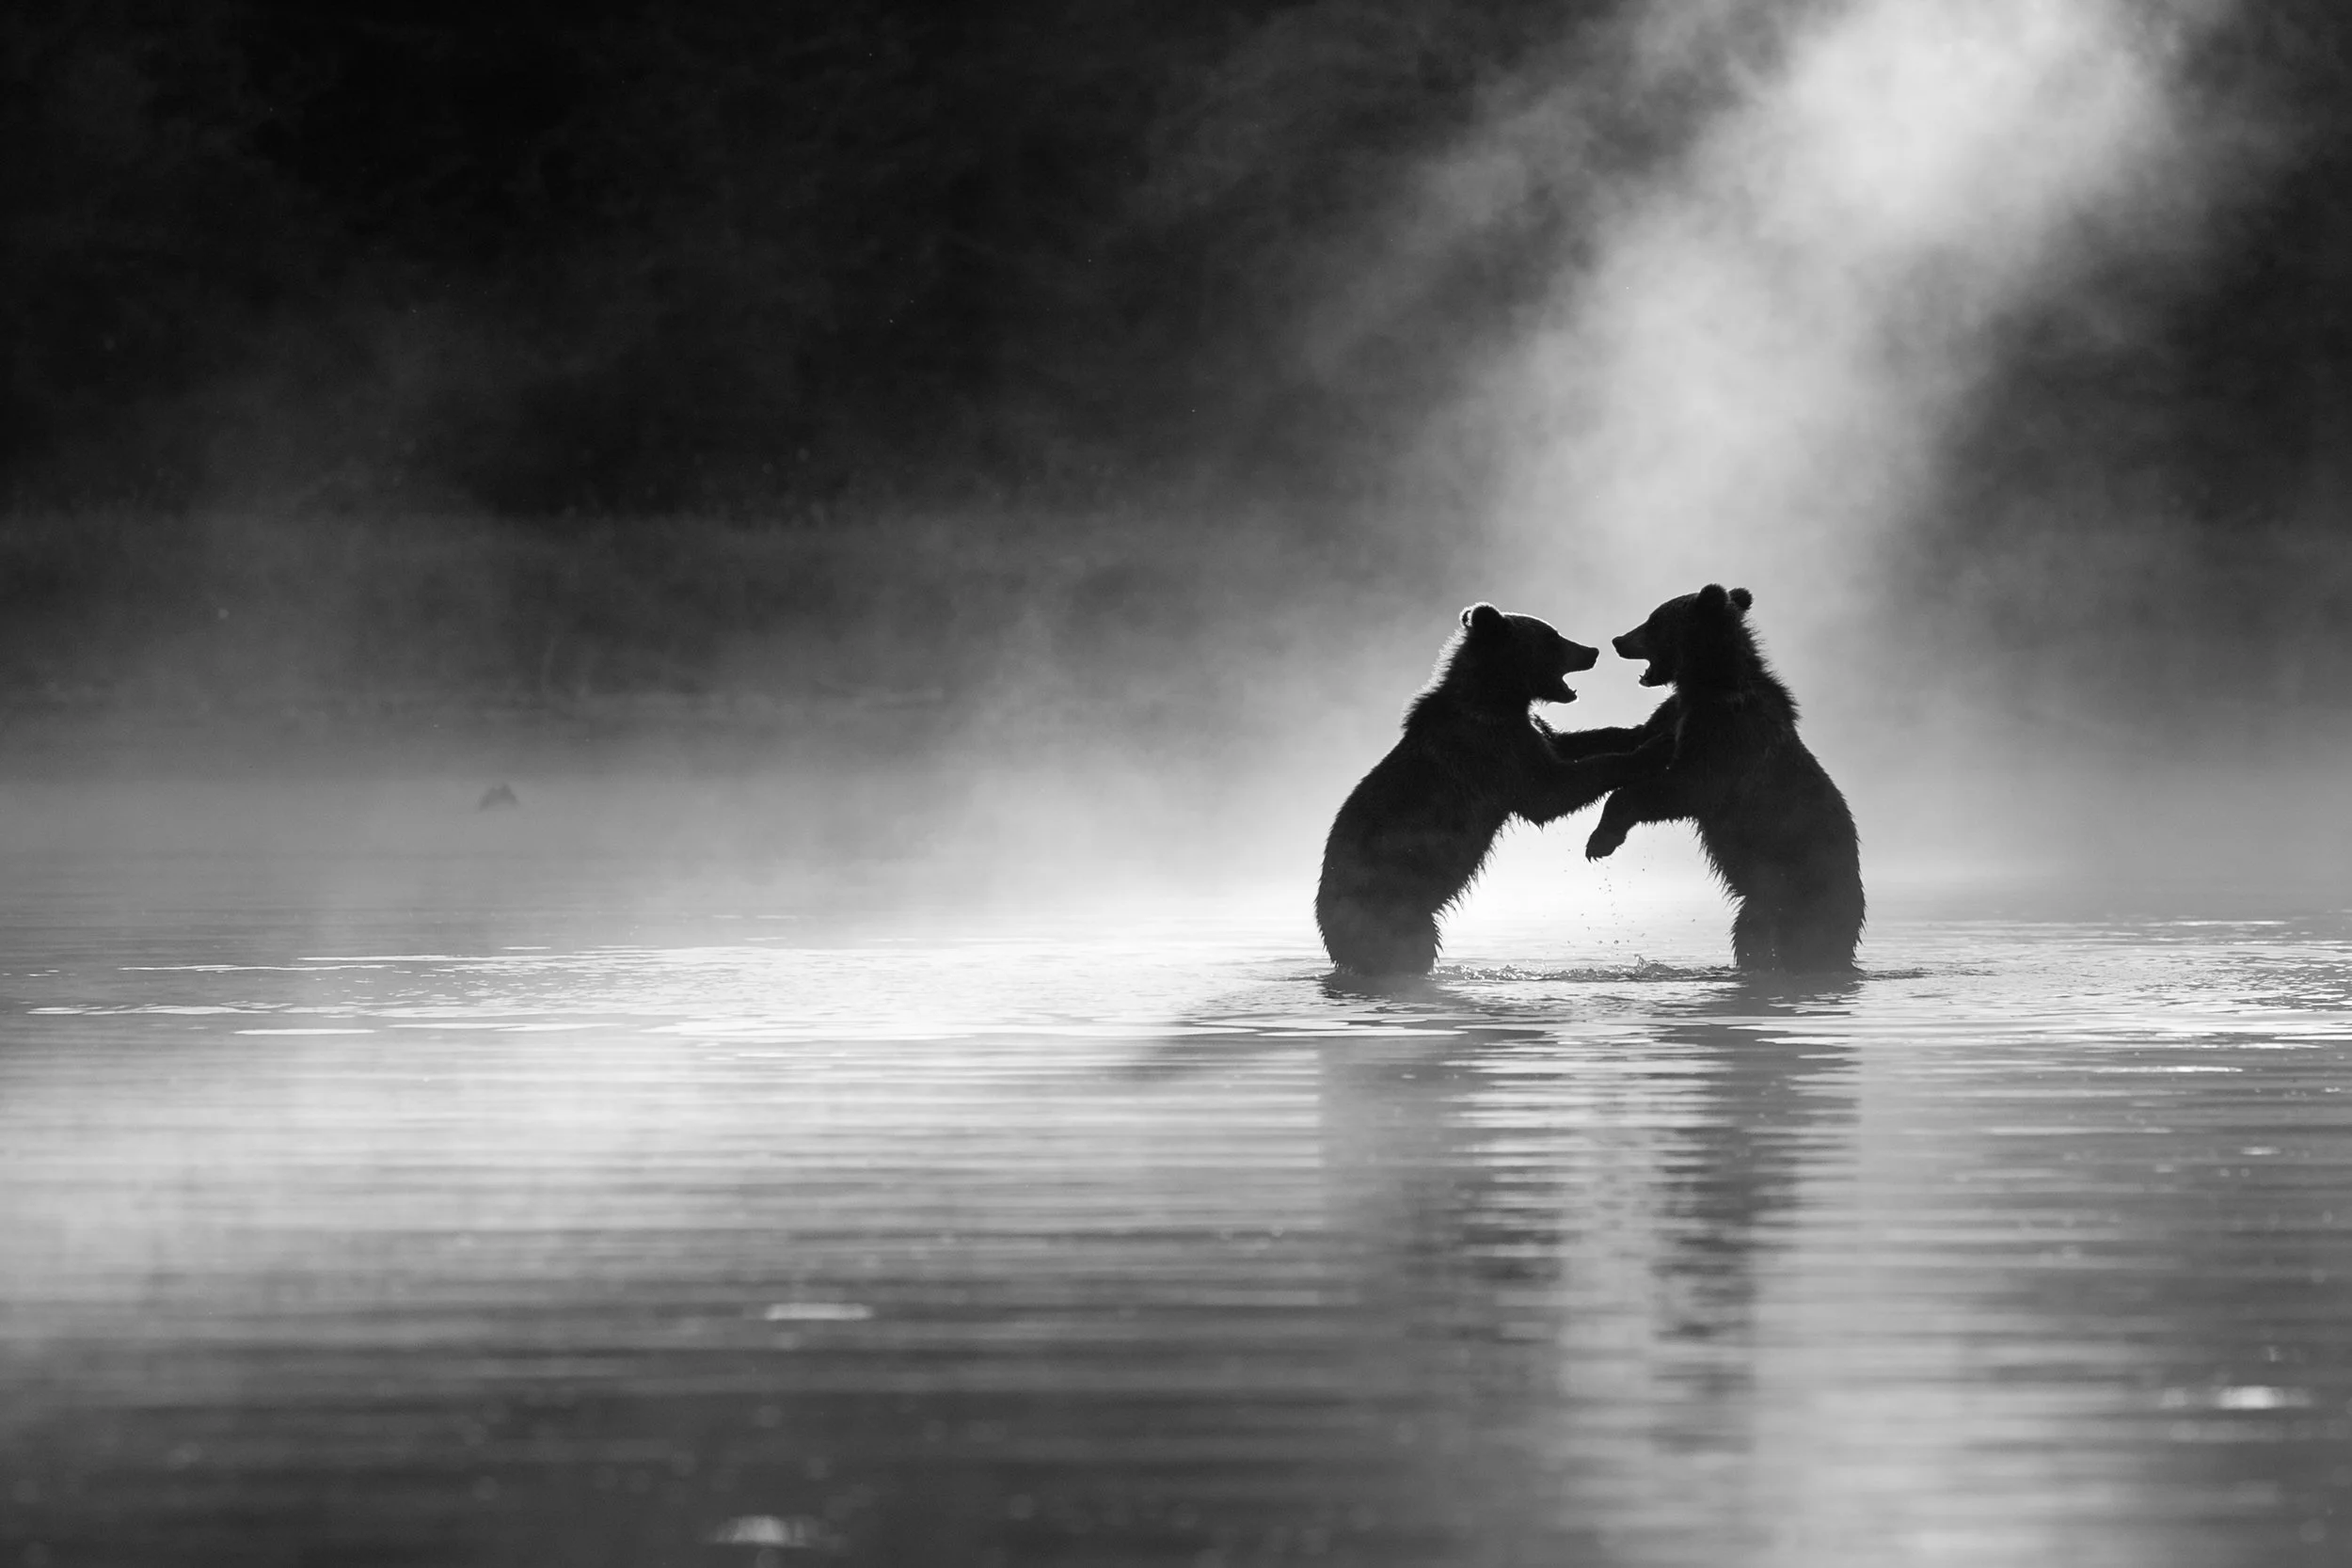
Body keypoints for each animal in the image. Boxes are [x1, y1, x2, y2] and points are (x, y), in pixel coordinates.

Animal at [1316, 603, 1671, 976]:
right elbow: (1551, 792)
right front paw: (1655, 749)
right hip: (1391, 908)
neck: (1499, 698)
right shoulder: (1492, 752)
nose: (1592, 651)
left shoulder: (1527, 733)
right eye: (1552, 637)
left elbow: (1574, 743)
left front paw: (1648, 728)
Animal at [1562, 584, 1864, 973]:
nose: (1618, 640)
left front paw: (1600, 841)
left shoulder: (1726, 735)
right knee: (1750, 936)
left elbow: (1687, 787)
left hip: (1807, 893)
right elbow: (1636, 738)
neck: (1707, 683)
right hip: (1761, 904)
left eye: (1654, 621)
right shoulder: (1677, 713)